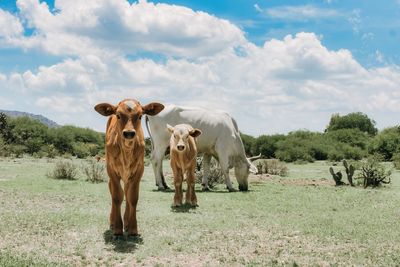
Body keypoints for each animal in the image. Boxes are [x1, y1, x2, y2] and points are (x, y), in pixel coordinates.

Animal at [94, 99, 164, 238]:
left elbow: (132, 198)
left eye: (140, 116)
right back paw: (113, 222)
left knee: (126, 192)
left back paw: (126, 221)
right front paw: (117, 228)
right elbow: (116, 197)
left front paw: (132, 228)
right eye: (118, 115)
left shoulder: (138, 171)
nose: (129, 133)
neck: (126, 152)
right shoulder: (112, 171)